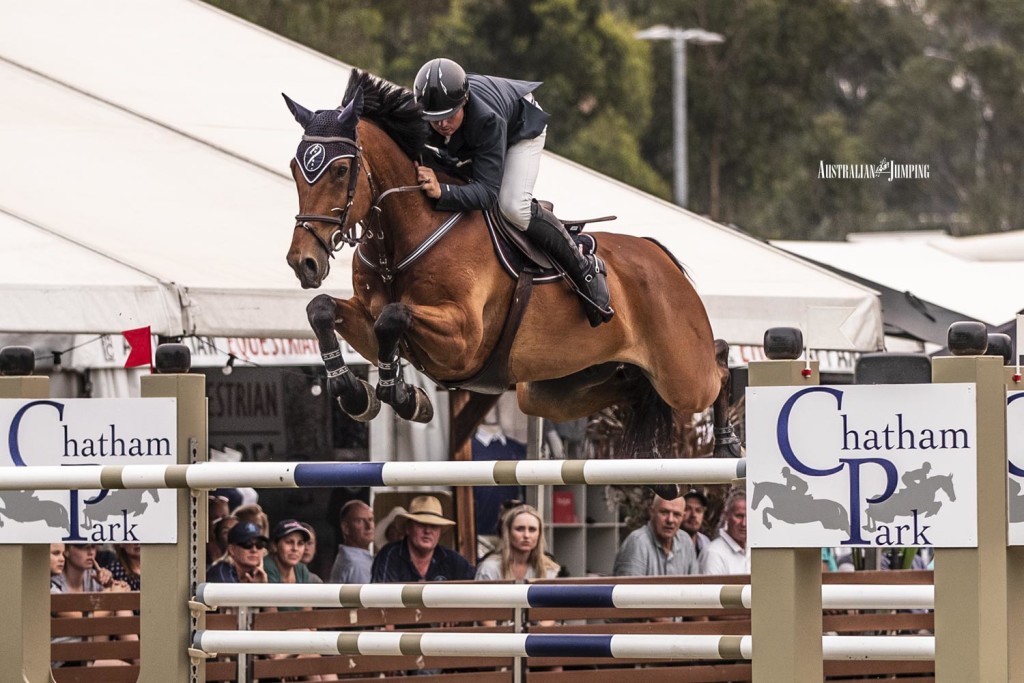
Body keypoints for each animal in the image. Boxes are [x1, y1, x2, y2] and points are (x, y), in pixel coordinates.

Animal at [284, 69, 741, 475]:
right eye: (295, 168)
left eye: (340, 170)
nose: (302, 262)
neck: (404, 234)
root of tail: (660, 256)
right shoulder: (368, 315)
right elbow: (324, 309)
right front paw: (360, 394)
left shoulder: (463, 339)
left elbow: (393, 317)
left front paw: (399, 393)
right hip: (553, 391)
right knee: (630, 387)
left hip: (682, 375)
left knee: (717, 364)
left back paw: (726, 445)